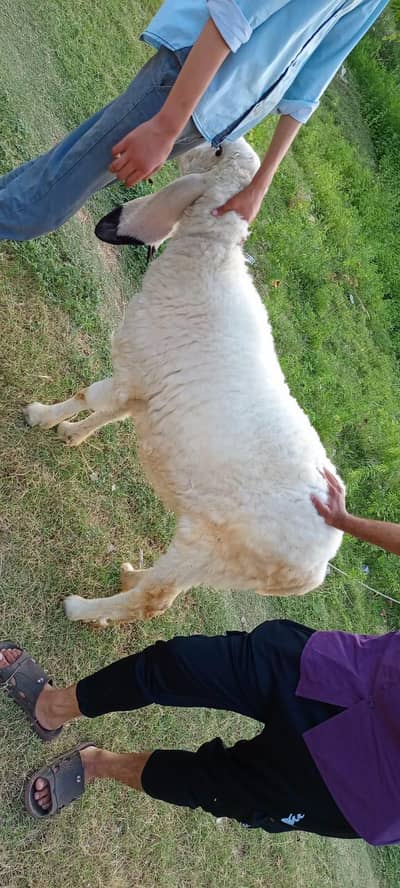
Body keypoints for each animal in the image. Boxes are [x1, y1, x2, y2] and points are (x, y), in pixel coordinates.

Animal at [24, 137, 343, 626]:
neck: (208, 260)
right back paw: (130, 576)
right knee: (162, 590)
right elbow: (111, 412)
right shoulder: (145, 382)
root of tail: (315, 570)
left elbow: (88, 394)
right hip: (221, 565)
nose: (203, 142)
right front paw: (71, 434)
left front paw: (40, 416)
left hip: (207, 547)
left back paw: (83, 609)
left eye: (217, 154)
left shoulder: (136, 365)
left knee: (154, 602)